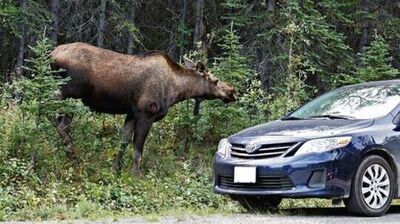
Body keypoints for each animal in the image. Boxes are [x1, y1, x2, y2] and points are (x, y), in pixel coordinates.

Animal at [50, 42, 238, 175]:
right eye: (215, 80)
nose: (232, 91)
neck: (175, 91)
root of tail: (51, 54)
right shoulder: (146, 113)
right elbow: (137, 150)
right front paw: (135, 175)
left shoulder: (131, 114)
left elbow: (123, 142)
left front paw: (115, 169)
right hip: (68, 89)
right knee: (46, 106)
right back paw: (69, 145)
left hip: (72, 98)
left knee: (63, 120)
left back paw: (68, 151)